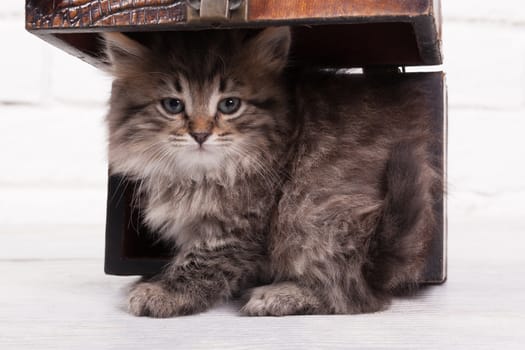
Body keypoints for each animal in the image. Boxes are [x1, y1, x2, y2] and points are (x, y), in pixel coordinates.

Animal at [102, 26, 438, 318]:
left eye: (229, 104)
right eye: (173, 105)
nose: (200, 134)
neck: (202, 174)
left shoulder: (239, 228)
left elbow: (202, 263)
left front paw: (165, 293)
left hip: (312, 215)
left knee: (354, 295)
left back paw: (279, 296)